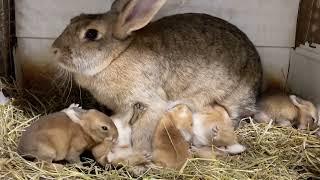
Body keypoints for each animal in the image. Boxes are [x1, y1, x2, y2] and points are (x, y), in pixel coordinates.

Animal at [52, 0, 262, 158]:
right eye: (73, 19)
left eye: (91, 33)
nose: (54, 50)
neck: (116, 56)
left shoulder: (152, 102)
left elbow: (142, 131)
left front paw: (139, 153)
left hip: (232, 102)